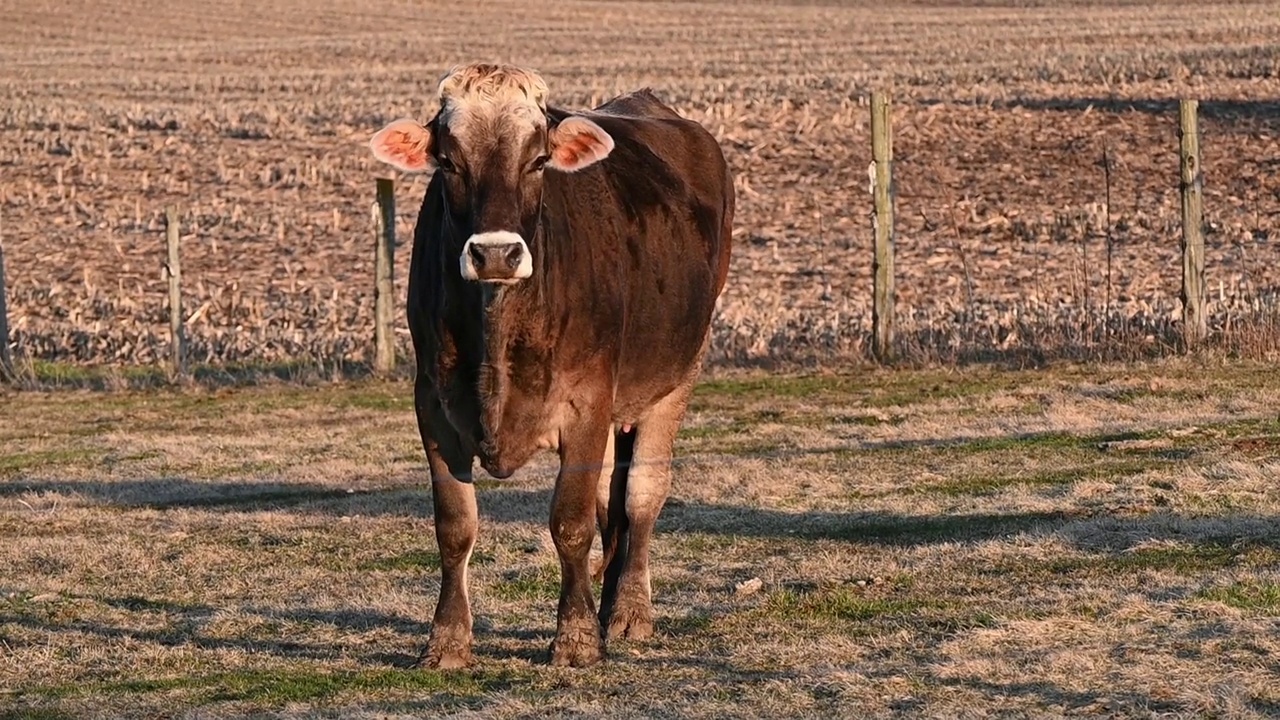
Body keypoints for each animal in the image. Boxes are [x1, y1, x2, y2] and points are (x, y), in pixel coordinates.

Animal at [368, 63, 732, 666]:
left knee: (641, 496)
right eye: (448, 162)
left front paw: (577, 639)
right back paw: (607, 610)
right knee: (613, 501)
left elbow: (571, 521)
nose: (495, 254)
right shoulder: (433, 405)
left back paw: (628, 613)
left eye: (538, 160)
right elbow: (455, 526)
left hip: (679, 371)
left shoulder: (587, 401)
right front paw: (446, 641)